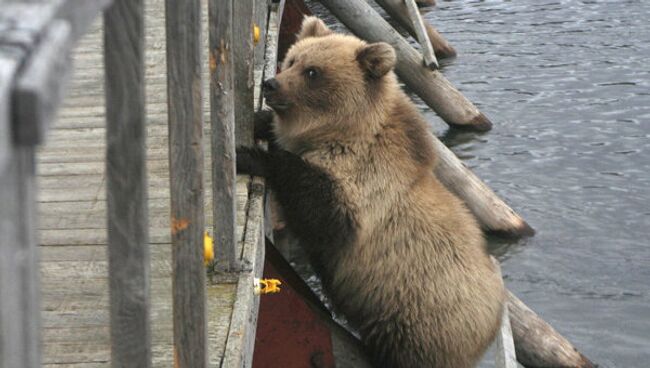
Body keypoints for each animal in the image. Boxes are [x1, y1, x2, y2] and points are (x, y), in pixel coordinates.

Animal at [235, 15, 504, 366]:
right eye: (292, 59)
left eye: (313, 72)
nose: (271, 84)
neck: (342, 132)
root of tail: (491, 324)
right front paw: (259, 120)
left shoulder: (366, 185)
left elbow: (321, 209)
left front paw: (250, 155)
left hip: (419, 319)